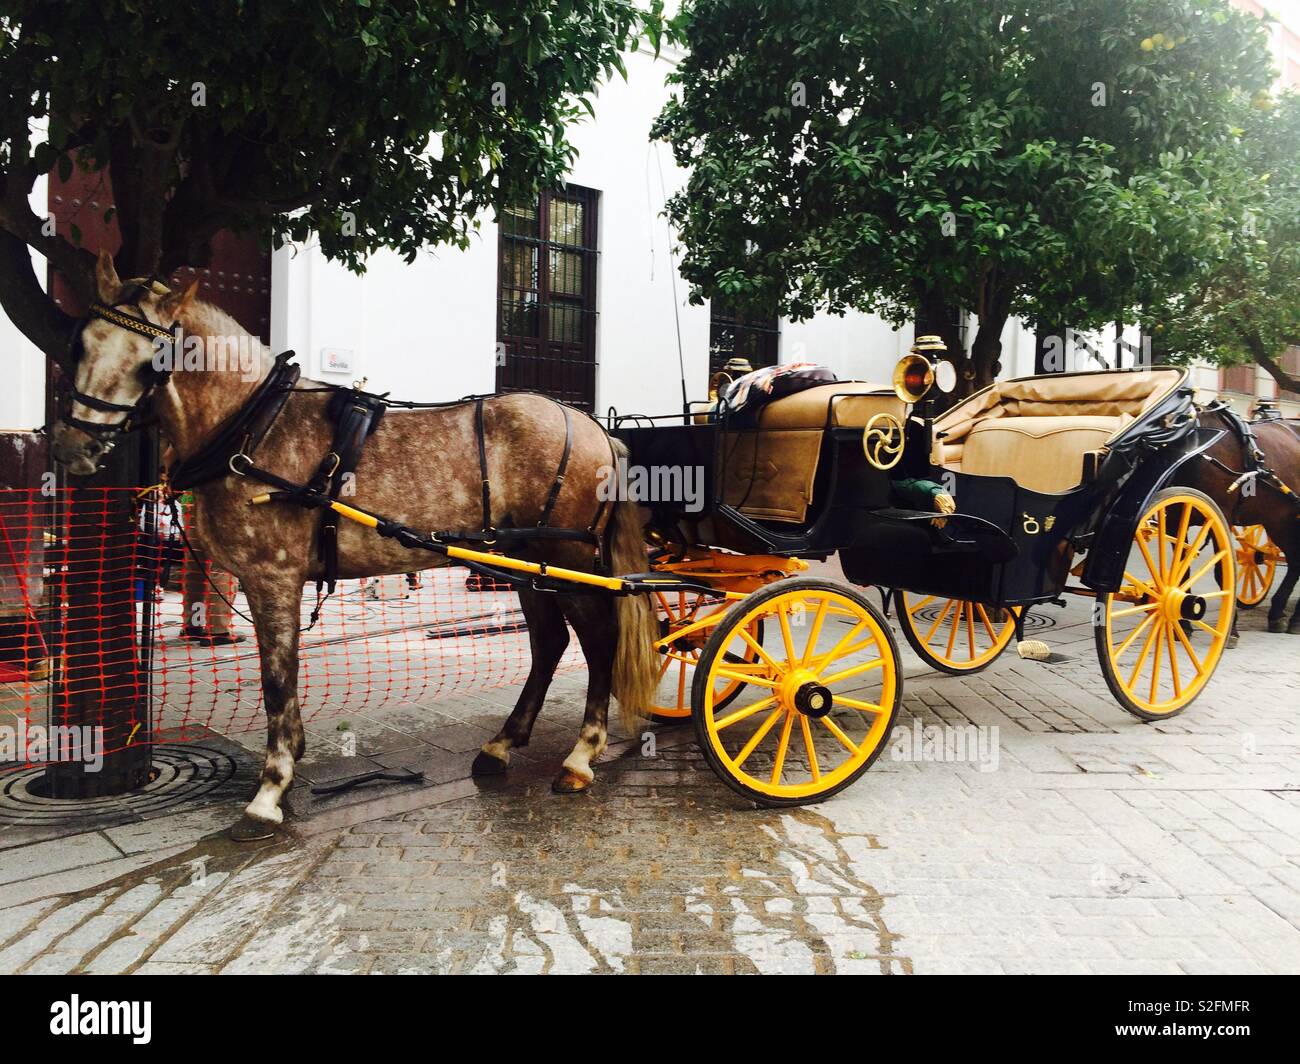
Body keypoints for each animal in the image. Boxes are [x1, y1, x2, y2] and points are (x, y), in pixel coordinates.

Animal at [51, 251, 660, 836]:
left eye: (151, 359)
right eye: (78, 343)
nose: (74, 446)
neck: (252, 425)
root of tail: (594, 426)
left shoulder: (272, 577)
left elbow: (276, 679)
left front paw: (270, 789)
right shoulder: (263, 580)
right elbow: (281, 677)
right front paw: (288, 762)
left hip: (568, 560)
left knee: (599, 639)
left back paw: (581, 754)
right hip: (523, 562)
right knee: (549, 642)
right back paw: (502, 745)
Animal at [1181, 403, 1300, 634]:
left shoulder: (1222, 516)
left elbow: (1223, 570)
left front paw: (1232, 625)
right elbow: (1181, 570)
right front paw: (1182, 624)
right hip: (1280, 520)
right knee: (1296, 560)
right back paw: (1278, 615)